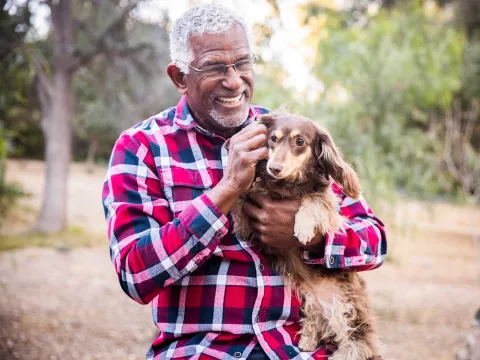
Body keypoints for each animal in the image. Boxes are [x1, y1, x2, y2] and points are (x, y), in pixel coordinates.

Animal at [232, 112, 382, 360]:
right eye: (272, 138)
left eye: (299, 141)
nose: (274, 168)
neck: (286, 186)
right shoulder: (253, 213)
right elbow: (244, 200)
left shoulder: (329, 209)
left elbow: (312, 199)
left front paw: (302, 227)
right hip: (310, 303)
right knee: (316, 322)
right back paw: (307, 339)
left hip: (346, 307)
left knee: (358, 343)